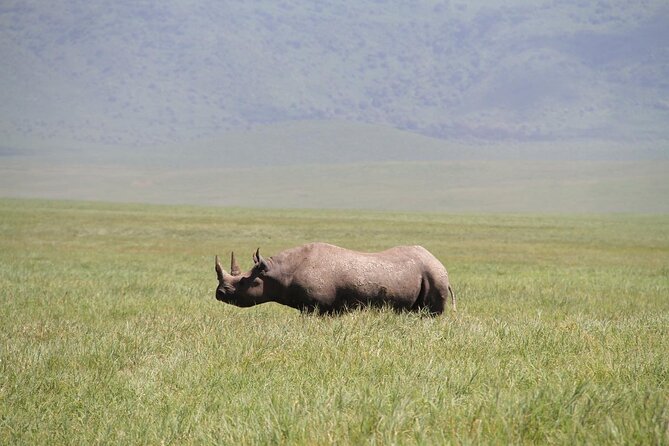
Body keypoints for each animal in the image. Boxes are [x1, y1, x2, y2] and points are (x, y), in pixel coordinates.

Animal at [214, 242, 455, 315]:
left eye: (243, 282)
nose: (220, 293)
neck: (278, 272)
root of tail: (440, 263)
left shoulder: (316, 307)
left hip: (434, 275)